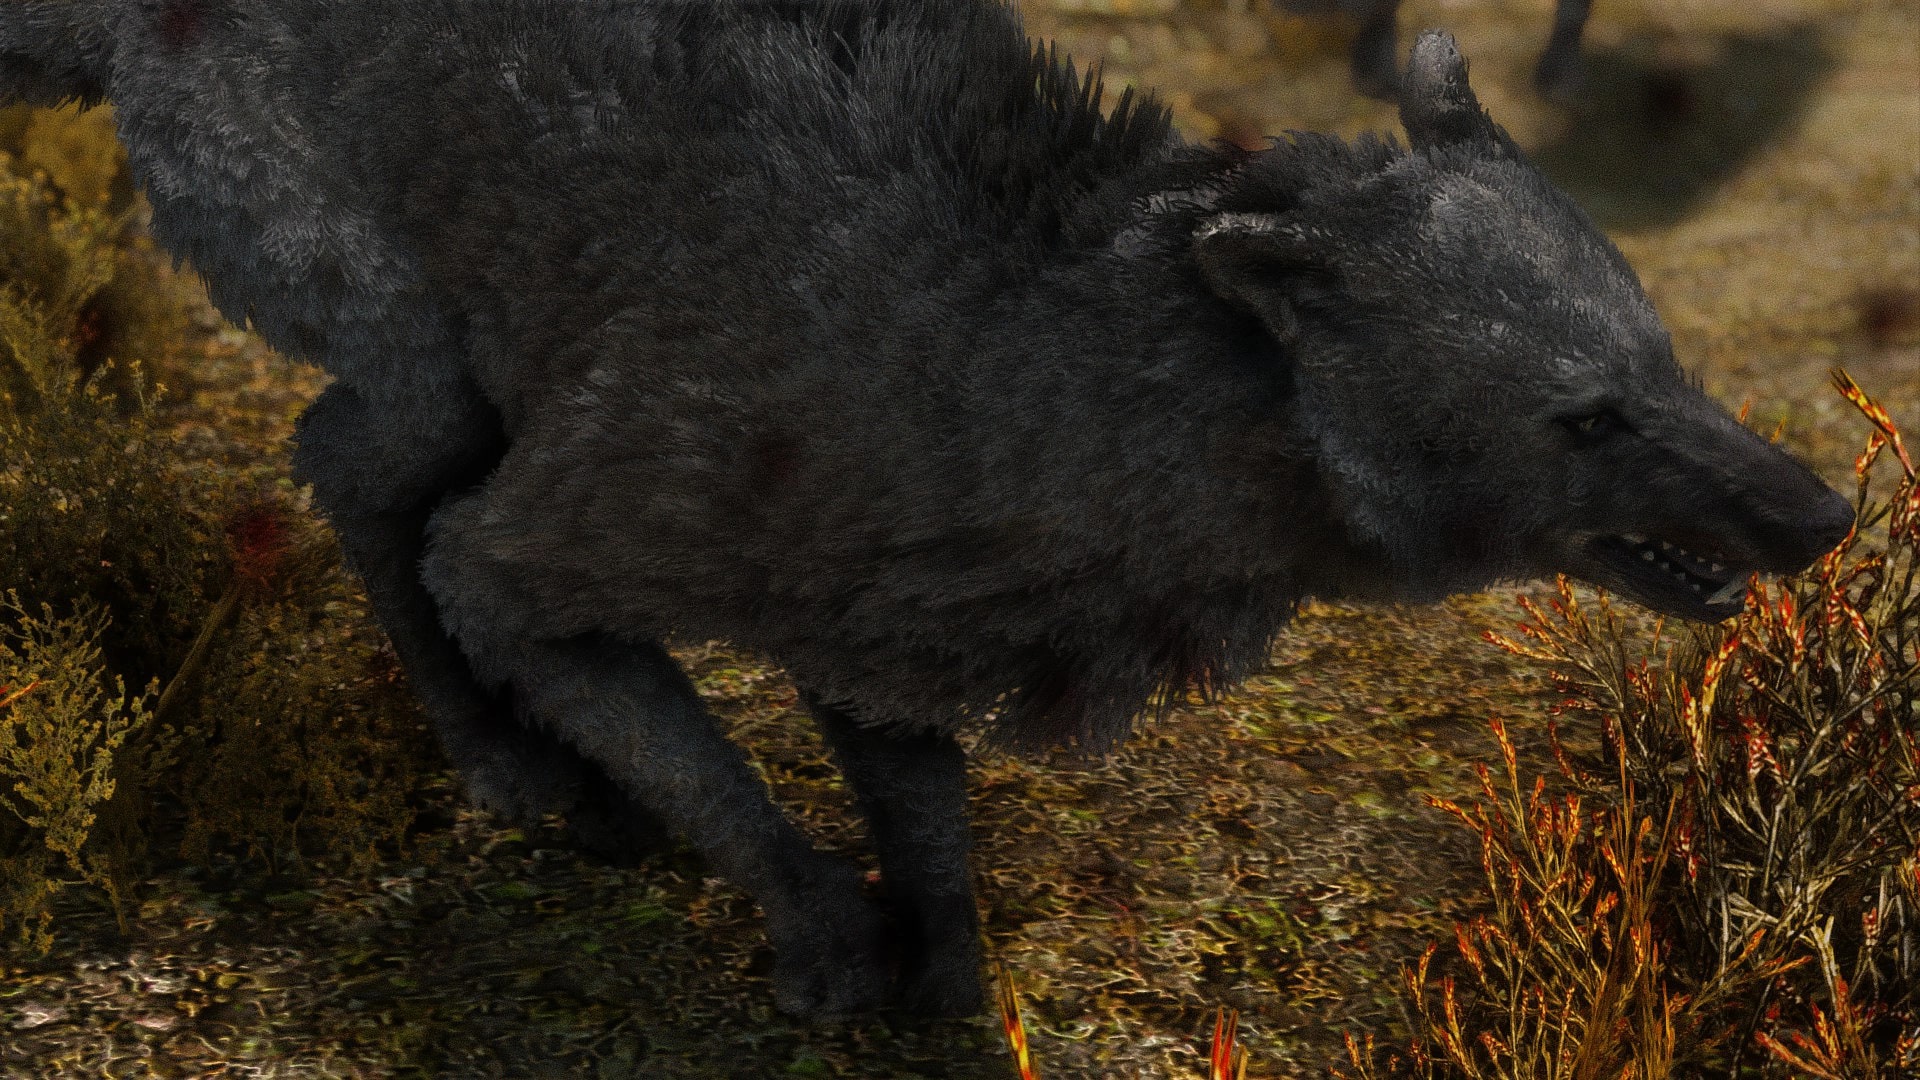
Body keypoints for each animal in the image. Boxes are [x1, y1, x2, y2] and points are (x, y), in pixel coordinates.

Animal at [0, 0, 1852, 1021]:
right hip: (416, 343)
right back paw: (520, 775)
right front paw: (823, 946)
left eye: (1669, 357)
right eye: (1586, 416)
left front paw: (947, 978)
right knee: (353, 468)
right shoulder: (560, 539)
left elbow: (926, 807)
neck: (1023, 347)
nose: (1827, 516)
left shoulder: (889, 607)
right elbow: (691, 751)